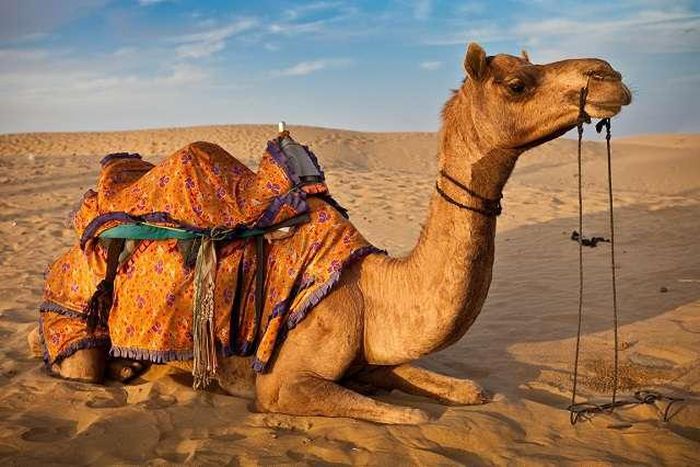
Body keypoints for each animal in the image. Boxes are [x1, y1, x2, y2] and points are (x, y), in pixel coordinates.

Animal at [29, 42, 631, 424]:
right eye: (516, 83)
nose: (611, 75)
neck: (372, 292)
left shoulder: (375, 355)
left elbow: (469, 388)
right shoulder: (284, 382)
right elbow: (412, 417)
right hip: (74, 319)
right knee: (72, 359)